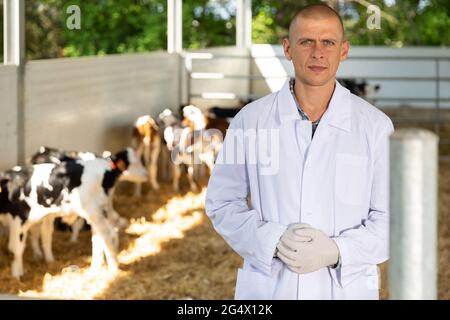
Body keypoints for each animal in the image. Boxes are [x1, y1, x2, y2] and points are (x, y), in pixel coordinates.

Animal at [0, 149, 146, 278]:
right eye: (134, 163)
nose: (145, 174)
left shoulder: (19, 220)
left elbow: (17, 248)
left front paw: (17, 274)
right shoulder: (38, 217)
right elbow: (42, 235)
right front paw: (44, 258)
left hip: (93, 211)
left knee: (108, 236)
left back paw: (112, 268)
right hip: (99, 212)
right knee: (100, 237)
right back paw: (96, 268)